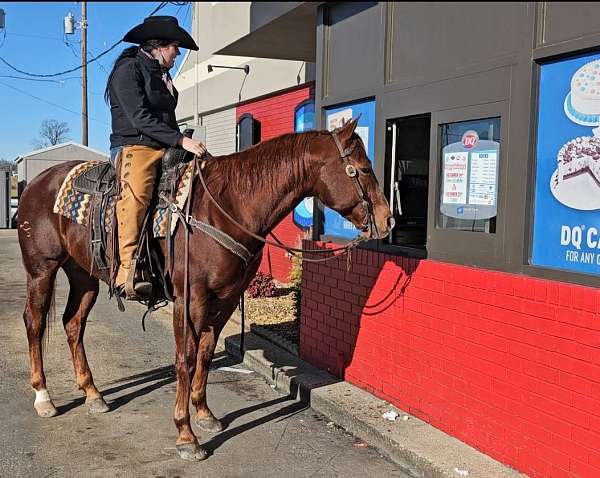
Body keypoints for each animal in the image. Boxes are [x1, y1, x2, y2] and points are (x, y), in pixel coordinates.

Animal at [16, 118, 394, 460]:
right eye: (362, 169)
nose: (388, 219)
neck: (227, 207)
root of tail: (35, 183)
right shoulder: (190, 297)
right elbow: (185, 357)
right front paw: (186, 435)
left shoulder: (225, 298)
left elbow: (207, 354)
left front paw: (205, 415)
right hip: (42, 270)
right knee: (34, 323)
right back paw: (43, 398)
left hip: (84, 276)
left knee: (73, 324)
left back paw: (93, 394)